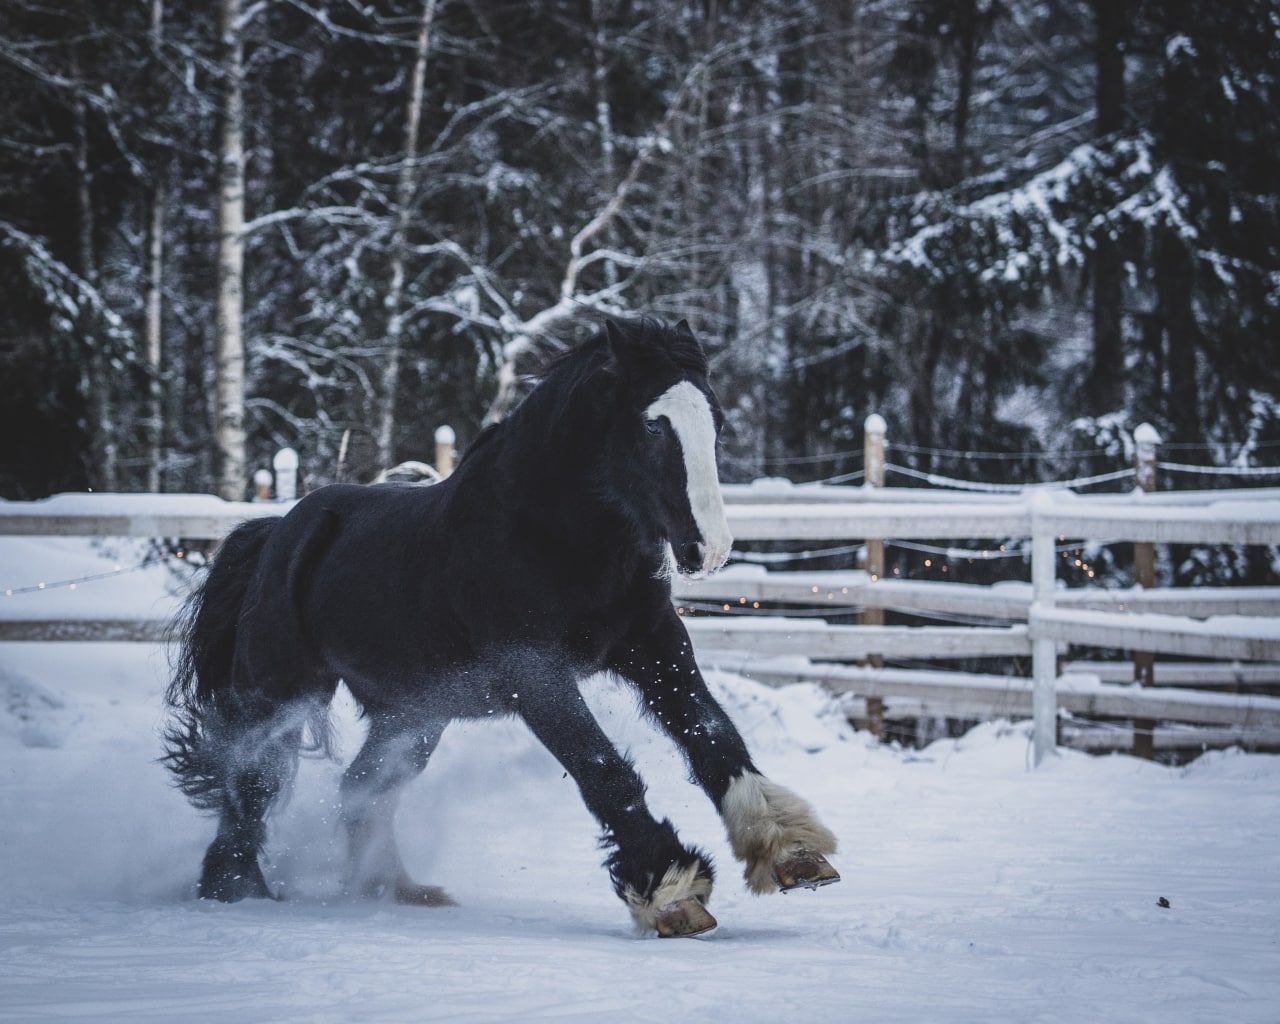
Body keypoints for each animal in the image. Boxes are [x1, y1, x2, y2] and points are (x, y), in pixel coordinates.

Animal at [162, 317, 839, 936]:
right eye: (653, 424)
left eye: (714, 420)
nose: (708, 548)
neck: (551, 536)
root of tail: (276, 531)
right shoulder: (533, 670)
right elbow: (604, 769)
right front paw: (669, 886)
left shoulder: (654, 647)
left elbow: (711, 734)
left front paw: (789, 848)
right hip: (280, 696)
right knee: (252, 784)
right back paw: (236, 891)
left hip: (412, 718)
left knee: (361, 789)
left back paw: (394, 891)